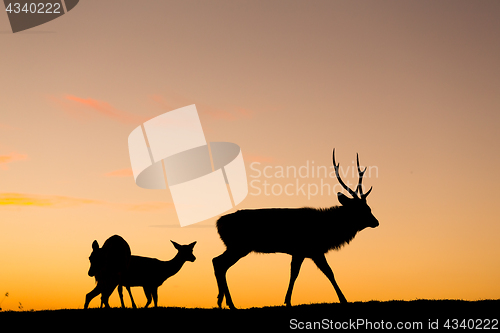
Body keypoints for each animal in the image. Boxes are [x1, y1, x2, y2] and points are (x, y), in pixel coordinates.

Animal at [212, 149, 378, 308]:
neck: (327, 230)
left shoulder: (300, 252)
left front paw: (287, 300)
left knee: (217, 262)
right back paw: (230, 304)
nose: (376, 222)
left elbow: (294, 273)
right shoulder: (312, 249)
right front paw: (343, 299)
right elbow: (328, 272)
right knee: (219, 263)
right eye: (363, 210)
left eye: (368, 207)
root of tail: (219, 223)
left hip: (236, 246)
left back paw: (221, 301)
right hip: (239, 246)